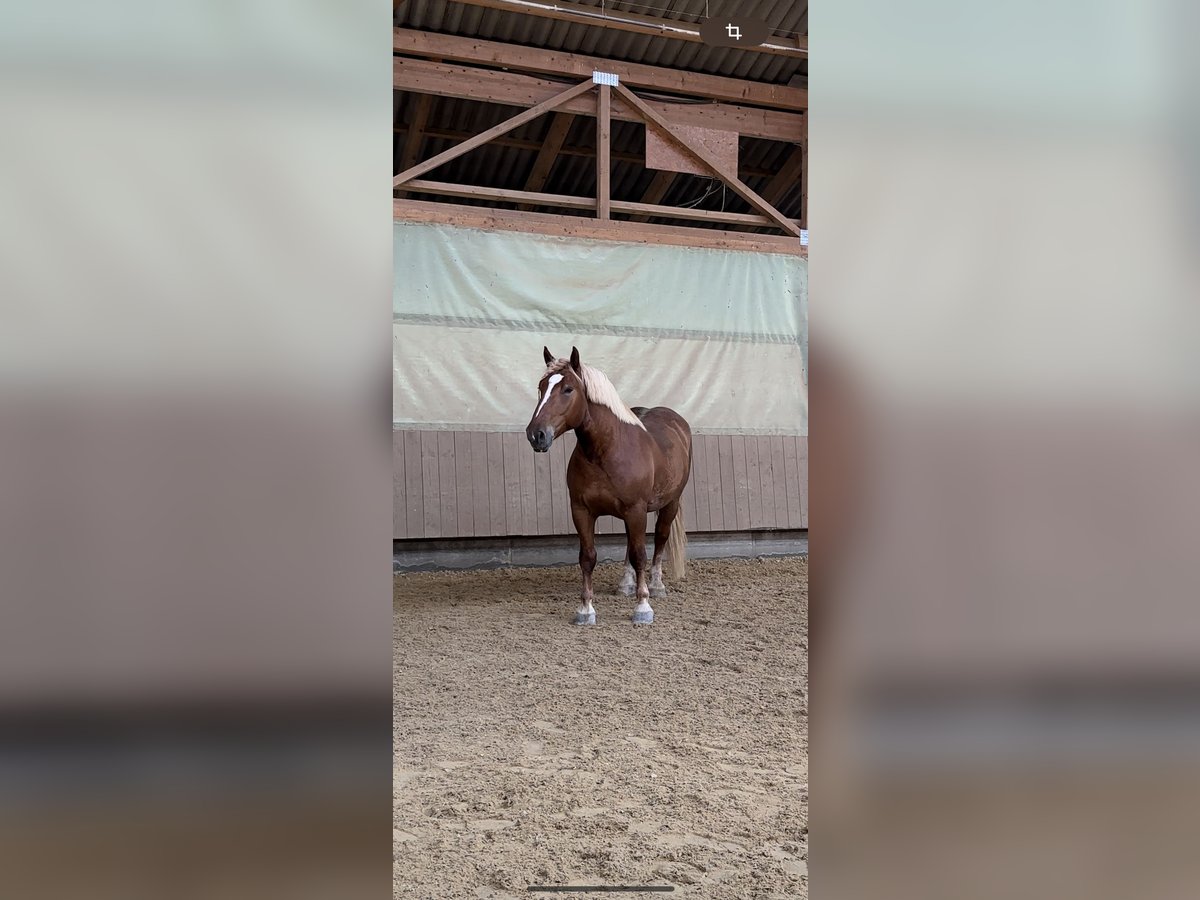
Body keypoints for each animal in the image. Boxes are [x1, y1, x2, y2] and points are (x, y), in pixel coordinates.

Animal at [525, 348, 696, 628]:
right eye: (541, 388)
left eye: (568, 389)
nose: (536, 435)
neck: (606, 450)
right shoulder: (582, 511)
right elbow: (588, 557)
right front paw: (586, 610)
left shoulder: (636, 510)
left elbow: (640, 555)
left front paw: (643, 606)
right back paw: (625, 584)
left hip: (668, 504)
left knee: (660, 539)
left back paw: (657, 586)